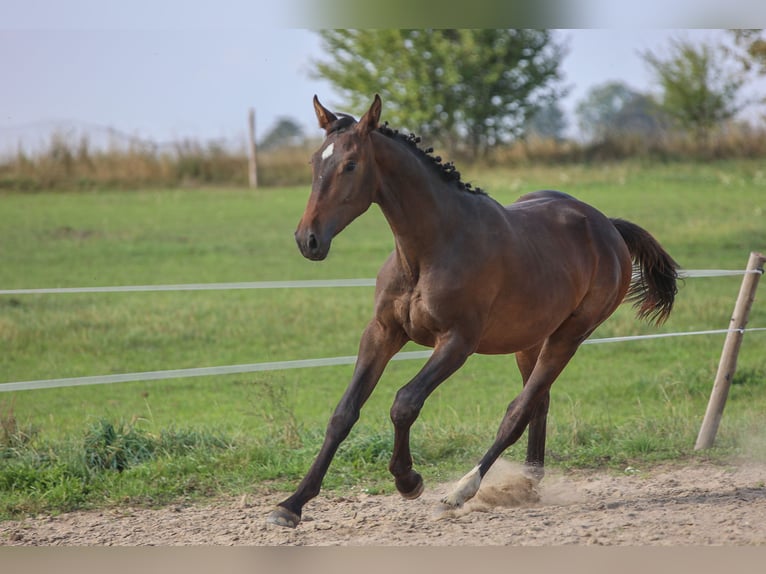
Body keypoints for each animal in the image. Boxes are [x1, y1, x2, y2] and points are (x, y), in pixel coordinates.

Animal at [266, 94, 680, 532]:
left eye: (350, 165)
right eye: (314, 161)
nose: (308, 240)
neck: (430, 249)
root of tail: (608, 227)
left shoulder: (457, 342)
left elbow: (404, 402)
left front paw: (408, 480)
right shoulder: (382, 332)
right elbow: (343, 413)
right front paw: (291, 504)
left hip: (570, 335)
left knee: (518, 410)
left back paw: (460, 492)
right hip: (529, 341)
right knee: (539, 403)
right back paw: (526, 486)